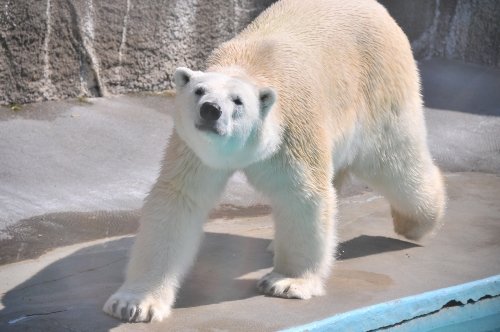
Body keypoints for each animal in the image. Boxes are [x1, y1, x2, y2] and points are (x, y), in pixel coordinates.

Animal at [102, 0, 446, 322]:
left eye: (238, 101)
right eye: (199, 91)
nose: (211, 110)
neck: (249, 64)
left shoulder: (292, 131)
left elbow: (302, 196)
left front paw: (287, 282)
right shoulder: (193, 148)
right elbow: (178, 198)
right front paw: (133, 304)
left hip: (380, 85)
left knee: (396, 163)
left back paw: (417, 223)